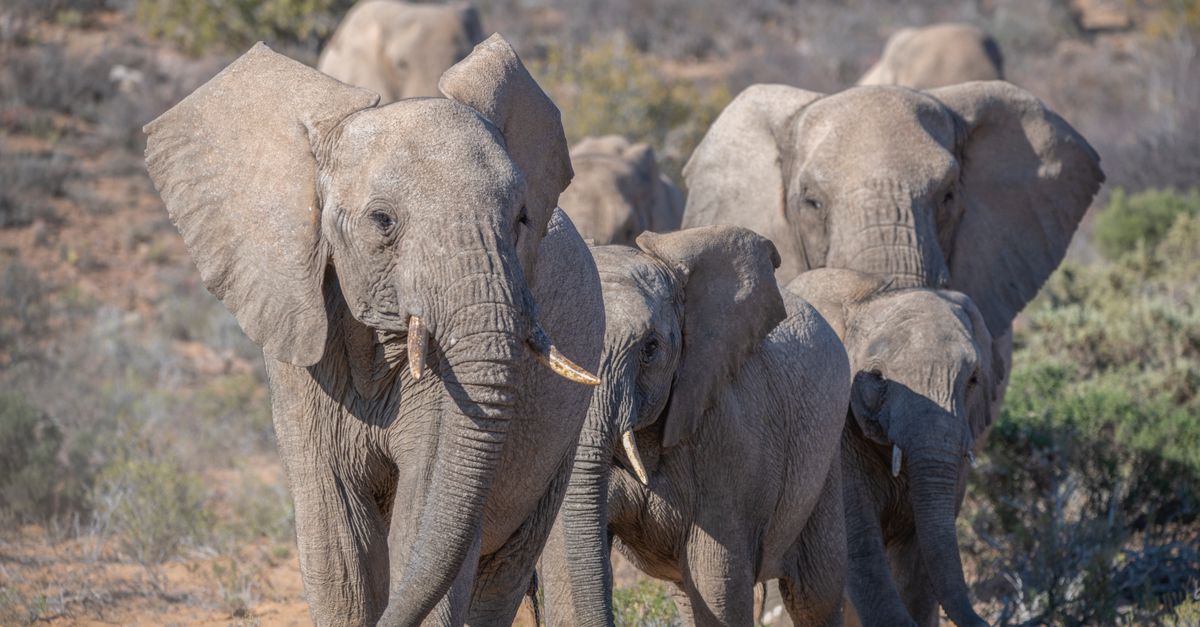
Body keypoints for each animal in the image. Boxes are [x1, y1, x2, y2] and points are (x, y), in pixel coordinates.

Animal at [144, 35, 604, 625]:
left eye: (521, 219)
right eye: (382, 221)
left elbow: (423, 512)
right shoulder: (301, 340)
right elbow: (338, 545)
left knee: (504, 571)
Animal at [538, 225, 852, 626]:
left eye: (650, 348)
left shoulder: (729, 438)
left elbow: (716, 583)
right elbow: (564, 560)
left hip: (825, 457)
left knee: (816, 595)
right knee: (685, 595)